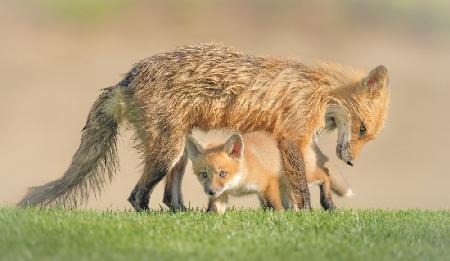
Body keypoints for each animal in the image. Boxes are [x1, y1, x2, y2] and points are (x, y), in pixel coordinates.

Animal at [19, 43, 388, 210]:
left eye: (368, 136)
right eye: (362, 129)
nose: (351, 161)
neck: (320, 92)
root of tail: (126, 79)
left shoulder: (300, 141)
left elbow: (318, 173)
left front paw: (328, 203)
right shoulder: (290, 137)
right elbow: (301, 186)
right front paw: (307, 215)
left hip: (181, 151)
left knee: (168, 196)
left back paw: (183, 213)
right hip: (167, 151)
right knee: (137, 196)